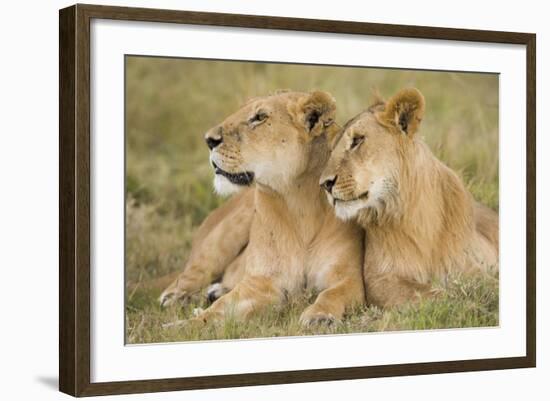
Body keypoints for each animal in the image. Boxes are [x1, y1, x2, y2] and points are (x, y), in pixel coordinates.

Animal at [162, 90, 366, 324]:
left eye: (260, 117)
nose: (208, 140)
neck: (299, 202)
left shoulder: (348, 278)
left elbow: (331, 294)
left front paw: (319, 316)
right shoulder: (259, 282)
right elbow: (217, 311)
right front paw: (182, 326)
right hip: (223, 235)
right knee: (189, 274)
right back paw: (178, 298)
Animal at [322, 88, 502, 306]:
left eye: (357, 140)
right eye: (332, 150)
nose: (324, 184)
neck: (417, 214)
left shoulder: (468, 266)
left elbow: (489, 285)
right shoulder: (379, 279)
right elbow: (436, 294)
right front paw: (469, 304)